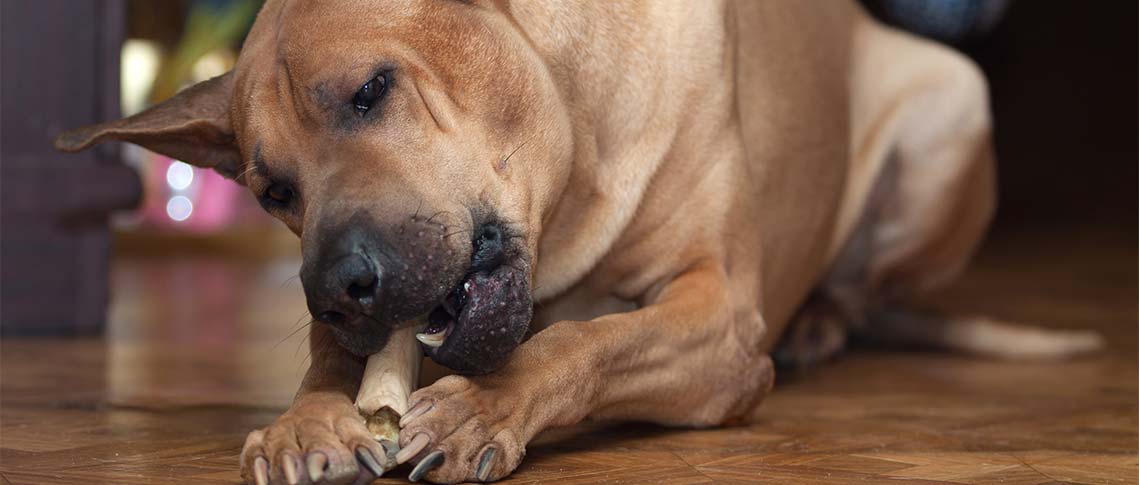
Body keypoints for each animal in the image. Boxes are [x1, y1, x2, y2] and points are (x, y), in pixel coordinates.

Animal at [55, 1, 1103, 481]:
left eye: (371, 90)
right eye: (273, 190)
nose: (335, 289)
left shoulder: (720, 318)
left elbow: (586, 341)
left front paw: (487, 405)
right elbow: (332, 364)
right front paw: (306, 419)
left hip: (954, 97)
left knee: (861, 292)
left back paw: (818, 325)